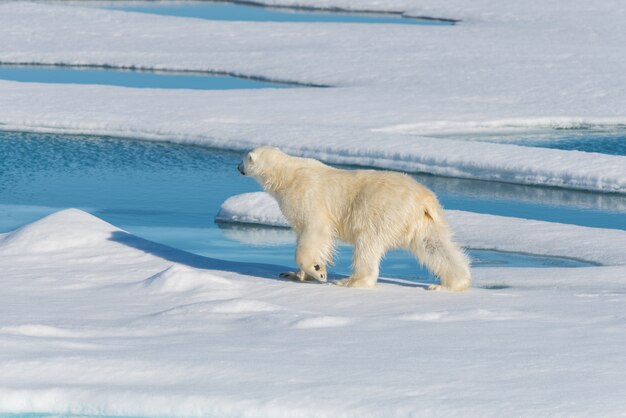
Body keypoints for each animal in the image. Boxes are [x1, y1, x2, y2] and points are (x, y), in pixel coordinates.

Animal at [238, 147, 468, 290]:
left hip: (382, 212)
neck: (287, 174)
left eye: (243, 159)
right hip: (422, 221)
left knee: (367, 244)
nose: (237, 168)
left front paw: (318, 271)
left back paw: (352, 281)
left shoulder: (307, 196)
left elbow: (315, 232)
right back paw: (451, 283)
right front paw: (293, 274)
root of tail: (424, 199)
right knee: (435, 246)